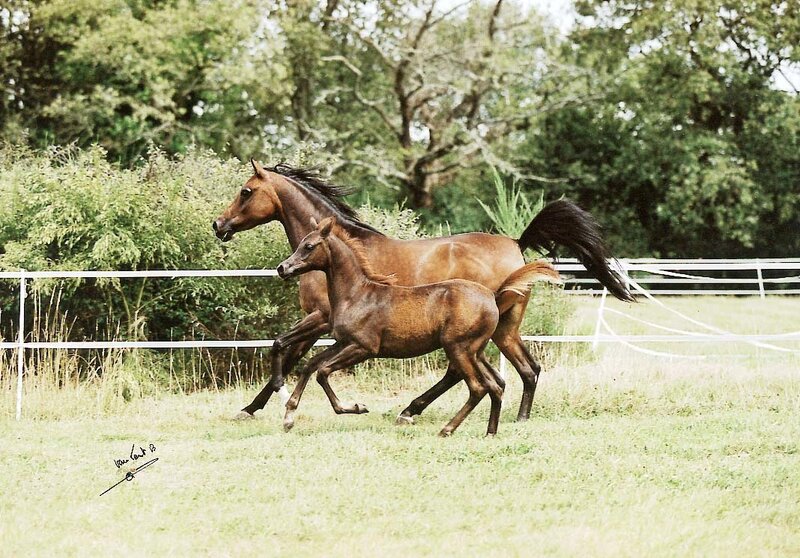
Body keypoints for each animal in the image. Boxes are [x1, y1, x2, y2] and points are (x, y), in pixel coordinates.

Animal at [275, 216, 561, 436]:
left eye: (309, 246)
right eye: (300, 243)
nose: (282, 268)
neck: (357, 294)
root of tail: (493, 295)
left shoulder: (364, 347)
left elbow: (322, 371)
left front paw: (355, 407)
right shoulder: (343, 342)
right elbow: (311, 365)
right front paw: (289, 416)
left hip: (458, 348)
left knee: (478, 387)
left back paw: (445, 428)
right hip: (475, 351)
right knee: (495, 385)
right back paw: (490, 431)